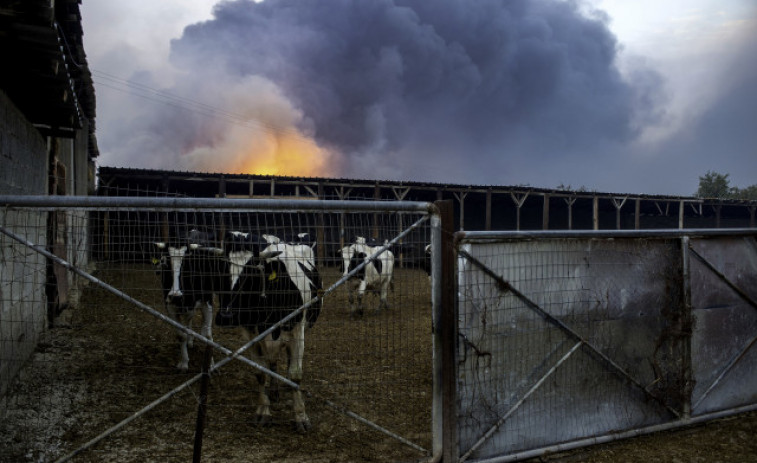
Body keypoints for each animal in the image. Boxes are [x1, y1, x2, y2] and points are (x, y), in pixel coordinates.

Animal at [151, 230, 223, 372]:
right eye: (165, 262)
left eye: (187, 263)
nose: (176, 295)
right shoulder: (170, 306)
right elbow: (181, 335)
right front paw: (184, 362)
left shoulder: (207, 301)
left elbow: (207, 335)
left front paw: (210, 363)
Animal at [213, 232, 322, 436]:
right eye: (222, 270)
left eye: (252, 272)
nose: (226, 316)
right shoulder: (249, 333)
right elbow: (260, 373)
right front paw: (263, 411)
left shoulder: (298, 330)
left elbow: (295, 374)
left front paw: (301, 417)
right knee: (272, 362)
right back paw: (274, 390)